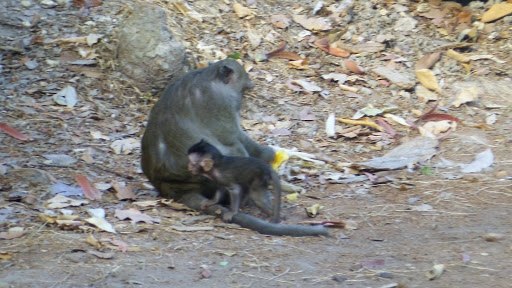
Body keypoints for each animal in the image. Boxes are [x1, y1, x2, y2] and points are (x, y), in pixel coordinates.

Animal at [142, 58, 330, 236]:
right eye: (244, 90)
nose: (244, 103)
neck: (207, 75)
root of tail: (175, 188)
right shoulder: (220, 102)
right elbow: (233, 137)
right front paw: (273, 157)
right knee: (235, 151)